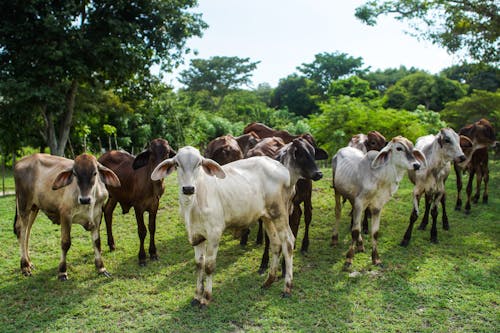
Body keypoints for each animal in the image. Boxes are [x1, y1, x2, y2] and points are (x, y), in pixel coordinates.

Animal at [332, 136, 426, 268]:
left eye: (412, 149)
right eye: (399, 148)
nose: (416, 165)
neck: (380, 177)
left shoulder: (377, 206)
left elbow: (375, 232)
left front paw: (376, 258)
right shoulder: (360, 203)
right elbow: (355, 231)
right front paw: (349, 259)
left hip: (352, 197)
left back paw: (360, 245)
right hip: (337, 190)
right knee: (338, 211)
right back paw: (335, 238)